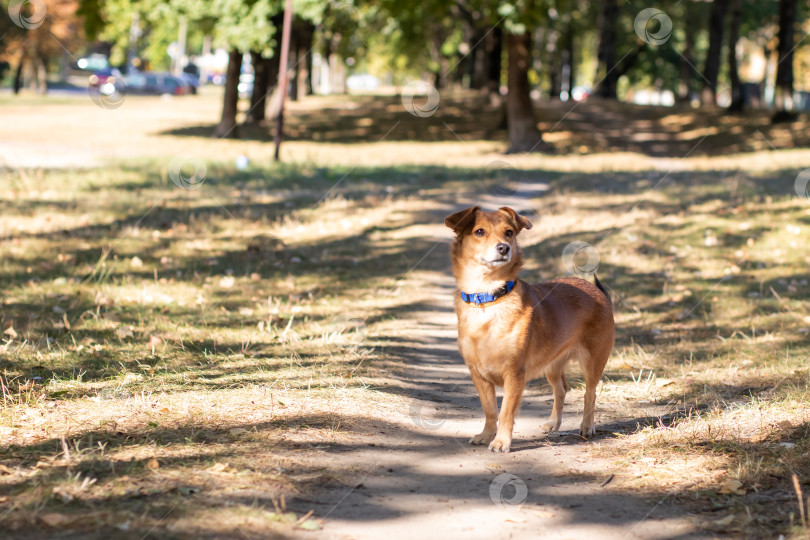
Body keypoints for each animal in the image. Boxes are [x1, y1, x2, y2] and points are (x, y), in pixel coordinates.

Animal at [442, 206, 612, 452]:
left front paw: (501, 441)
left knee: (590, 393)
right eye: (479, 232)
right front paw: (486, 434)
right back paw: (553, 423)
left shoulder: (514, 374)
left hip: (593, 362)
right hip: (552, 365)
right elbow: (489, 410)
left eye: (509, 232)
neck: (488, 299)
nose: (504, 247)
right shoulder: (478, 374)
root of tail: (597, 291)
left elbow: (505, 412)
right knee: (561, 389)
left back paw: (587, 426)